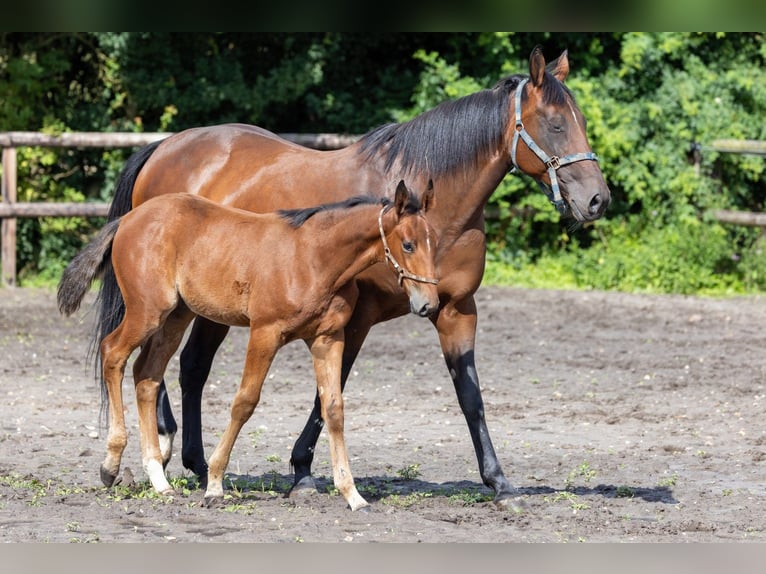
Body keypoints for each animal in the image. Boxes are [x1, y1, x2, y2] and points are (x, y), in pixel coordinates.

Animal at [58, 182, 438, 510]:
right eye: (407, 244)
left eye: (434, 242)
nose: (428, 305)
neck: (314, 259)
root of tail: (128, 219)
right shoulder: (265, 333)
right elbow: (245, 402)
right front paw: (214, 484)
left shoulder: (328, 338)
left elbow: (333, 409)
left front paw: (352, 495)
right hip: (148, 311)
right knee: (113, 353)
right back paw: (110, 464)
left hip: (176, 315)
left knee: (146, 374)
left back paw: (158, 479)